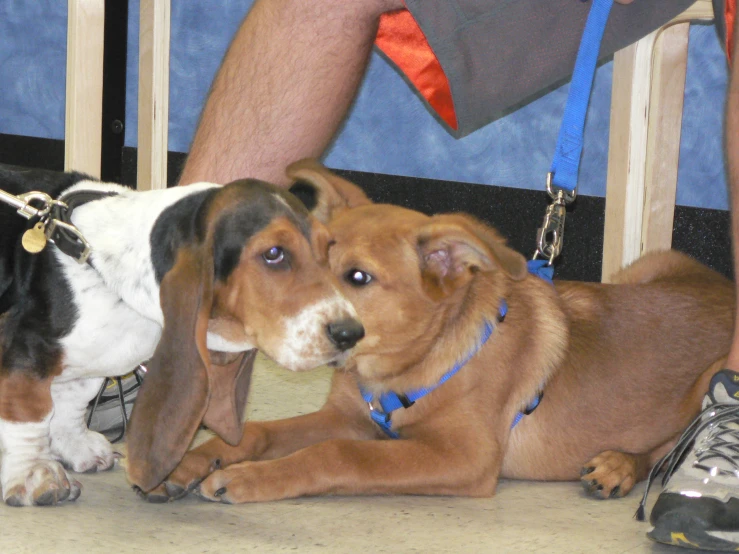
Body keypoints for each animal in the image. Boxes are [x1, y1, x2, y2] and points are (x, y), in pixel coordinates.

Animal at [156, 158, 736, 500]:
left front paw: (249, 477)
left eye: (358, 277)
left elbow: (335, 454)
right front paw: (192, 460)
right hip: (647, 266)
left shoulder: (463, 457)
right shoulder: (350, 418)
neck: (410, 366)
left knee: (671, 444)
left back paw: (619, 465)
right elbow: (260, 431)